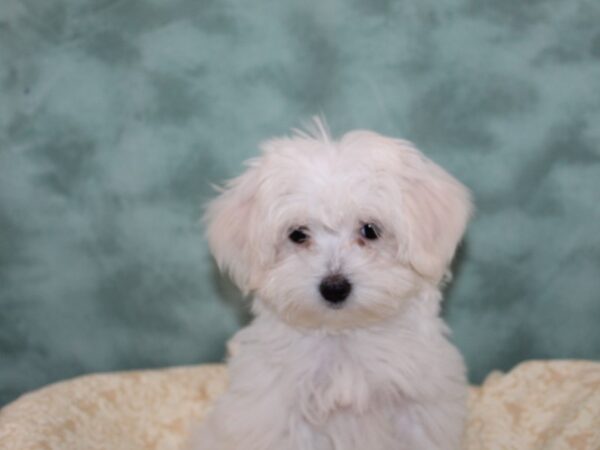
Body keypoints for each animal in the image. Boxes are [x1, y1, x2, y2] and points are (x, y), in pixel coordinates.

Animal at [195, 119, 472, 450]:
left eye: (370, 230)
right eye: (298, 234)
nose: (335, 288)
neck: (343, 337)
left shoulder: (418, 408)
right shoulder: (278, 415)